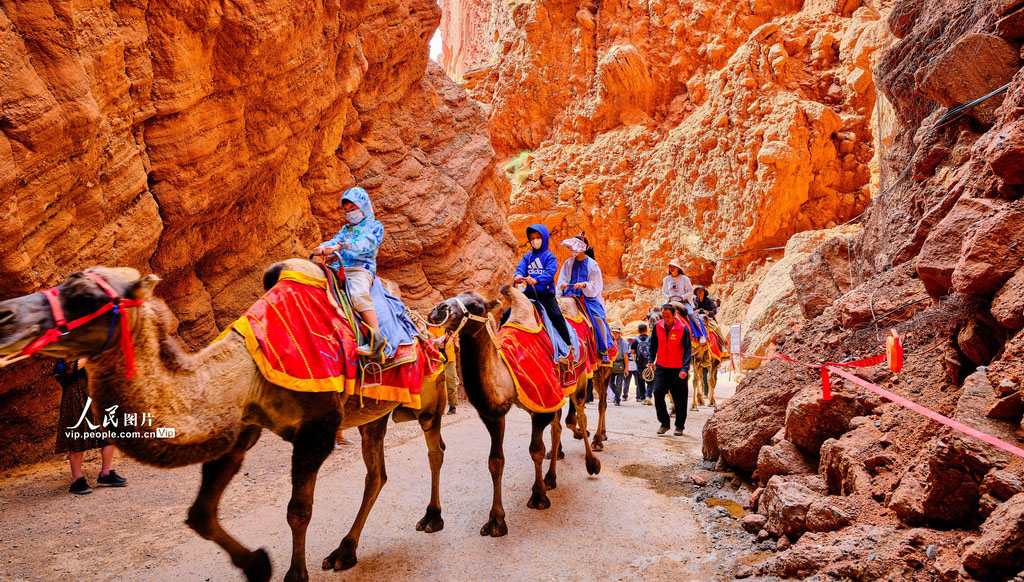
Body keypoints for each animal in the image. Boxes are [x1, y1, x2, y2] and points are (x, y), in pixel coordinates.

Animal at [1, 261, 448, 581]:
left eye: (84, 296)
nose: (5, 314)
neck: (247, 370)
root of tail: (424, 324)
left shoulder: (317, 428)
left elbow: (298, 510)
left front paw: (293, 575)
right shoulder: (242, 427)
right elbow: (200, 514)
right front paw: (257, 564)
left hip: (430, 392)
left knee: (435, 447)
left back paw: (431, 518)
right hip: (375, 409)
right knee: (376, 473)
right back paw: (345, 552)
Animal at [425, 284, 598, 536]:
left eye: (475, 305)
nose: (438, 309)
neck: (507, 372)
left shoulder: (542, 403)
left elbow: (536, 450)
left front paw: (538, 497)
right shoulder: (496, 414)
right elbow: (495, 462)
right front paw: (496, 520)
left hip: (581, 380)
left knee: (582, 417)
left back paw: (592, 462)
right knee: (557, 429)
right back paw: (551, 477)